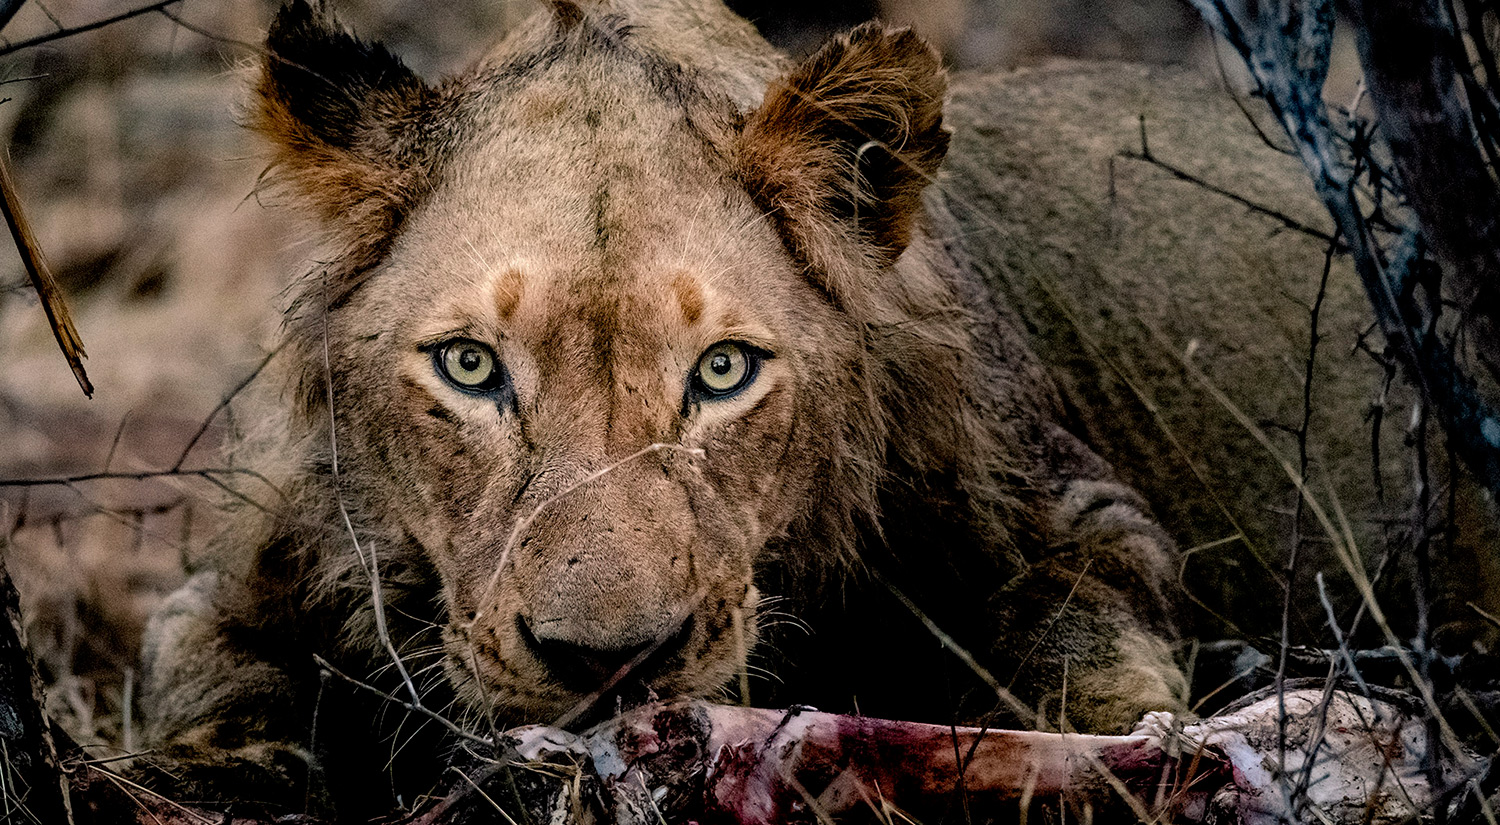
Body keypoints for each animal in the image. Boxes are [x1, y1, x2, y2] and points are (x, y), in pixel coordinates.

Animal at [135, 0, 1500, 819]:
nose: (607, 665)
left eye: (722, 373)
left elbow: (1089, 649)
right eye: (470, 368)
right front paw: (216, 766)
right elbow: (196, 662)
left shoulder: (1080, 513)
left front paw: (1148, 754)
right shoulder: (247, 573)